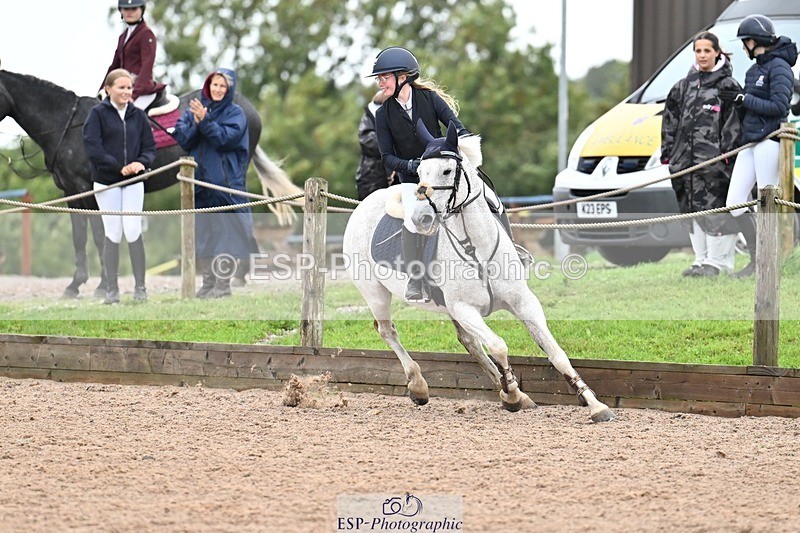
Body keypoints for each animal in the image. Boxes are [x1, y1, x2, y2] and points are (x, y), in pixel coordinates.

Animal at [0, 66, 301, 298]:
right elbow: (79, 238)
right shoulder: (73, 193)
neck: (68, 124)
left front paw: (100, 285)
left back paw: (237, 274)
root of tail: (247, 106)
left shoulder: (90, 191)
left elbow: (99, 236)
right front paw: (75, 285)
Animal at [342, 121, 615, 423]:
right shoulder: (464, 308)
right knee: (388, 331)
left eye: (447, 171)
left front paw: (595, 405)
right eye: (420, 173)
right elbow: (499, 346)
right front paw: (512, 393)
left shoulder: (524, 303)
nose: (421, 218)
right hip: (375, 292)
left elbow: (556, 354)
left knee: (468, 341)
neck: (478, 249)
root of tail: (365, 203)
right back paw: (419, 386)